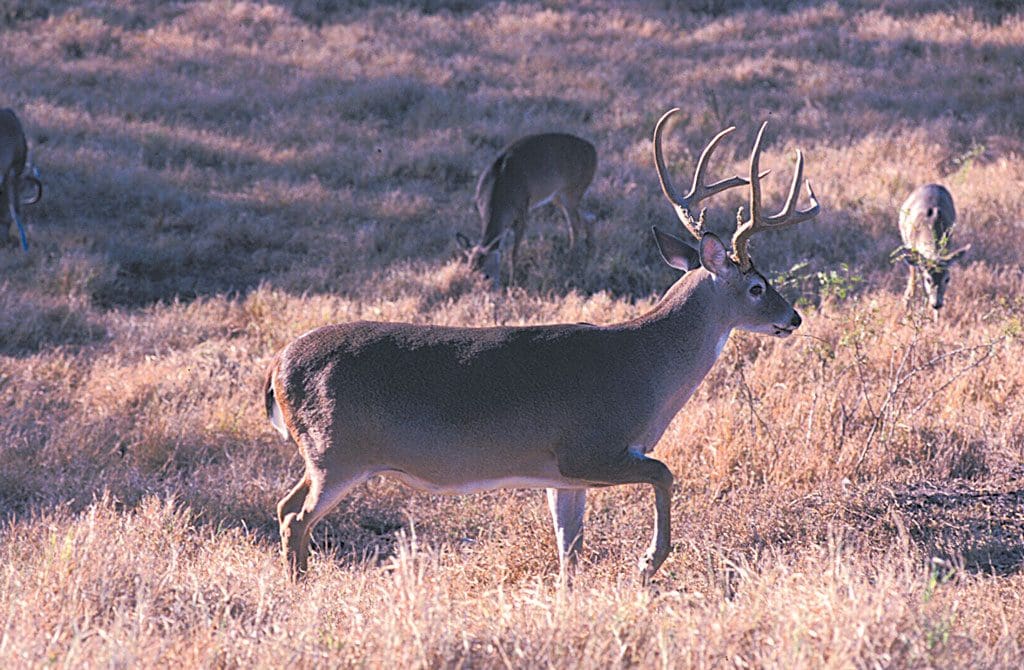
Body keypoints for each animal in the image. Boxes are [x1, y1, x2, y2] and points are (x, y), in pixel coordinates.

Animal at [455, 133, 597, 287]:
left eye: (486, 275)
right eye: (469, 271)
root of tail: (593, 151)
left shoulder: (522, 215)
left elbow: (513, 254)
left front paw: (512, 283)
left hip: (571, 192)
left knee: (575, 224)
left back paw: (570, 261)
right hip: (558, 196)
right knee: (588, 217)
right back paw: (589, 255)